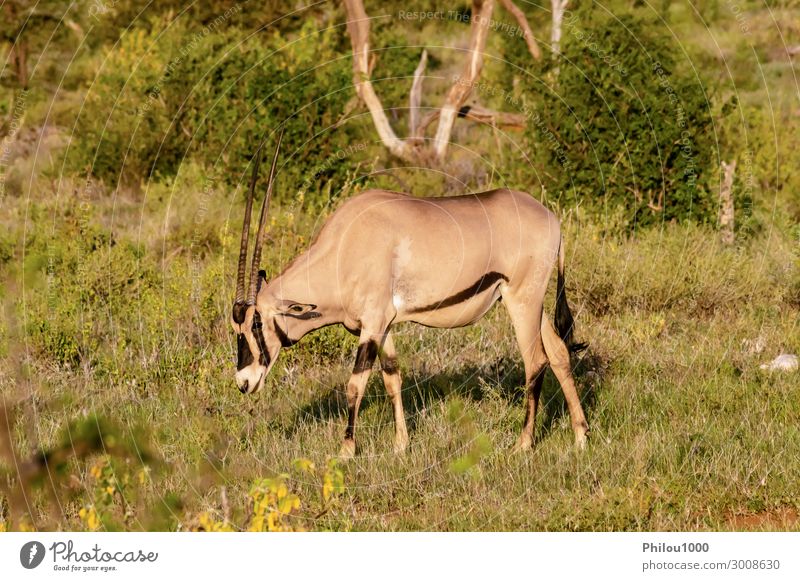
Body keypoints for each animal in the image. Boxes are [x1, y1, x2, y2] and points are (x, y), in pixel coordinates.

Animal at [230, 129, 588, 456]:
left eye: (257, 323)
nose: (243, 382)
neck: (344, 247)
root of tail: (552, 219)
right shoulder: (382, 326)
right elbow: (392, 377)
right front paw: (401, 445)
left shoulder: (372, 324)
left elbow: (355, 384)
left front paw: (346, 450)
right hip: (533, 304)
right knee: (558, 352)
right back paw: (581, 436)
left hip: (521, 301)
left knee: (535, 361)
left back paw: (524, 444)